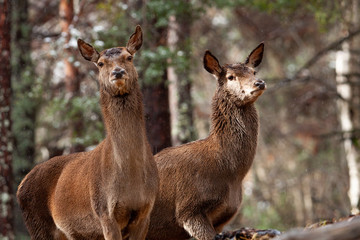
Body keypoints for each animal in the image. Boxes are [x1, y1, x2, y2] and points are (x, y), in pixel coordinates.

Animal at [16, 25, 158, 240]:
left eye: (129, 57)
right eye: (100, 63)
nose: (118, 72)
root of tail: (20, 185)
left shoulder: (145, 212)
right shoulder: (104, 212)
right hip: (38, 225)